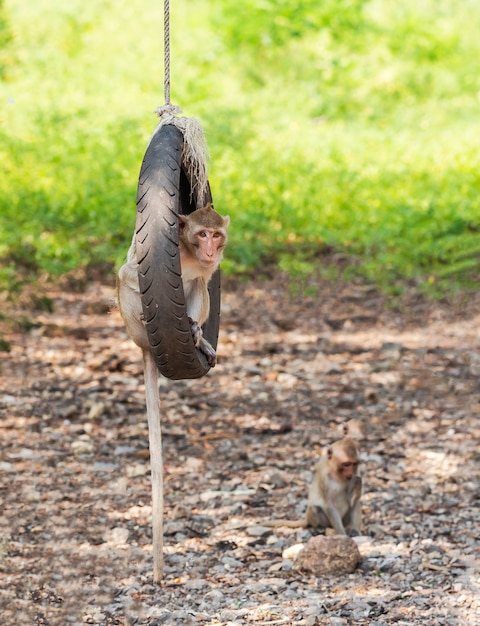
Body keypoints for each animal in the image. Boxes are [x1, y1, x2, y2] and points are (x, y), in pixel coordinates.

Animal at [116, 204, 229, 580]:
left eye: (216, 235)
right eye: (201, 234)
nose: (210, 249)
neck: (191, 253)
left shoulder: (209, 268)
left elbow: (201, 283)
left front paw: (196, 332)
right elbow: (128, 276)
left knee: (197, 286)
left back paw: (196, 336)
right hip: (135, 329)